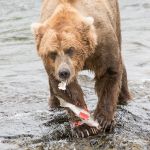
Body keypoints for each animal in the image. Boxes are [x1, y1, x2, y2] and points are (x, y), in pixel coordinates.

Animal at [31, 0, 131, 138]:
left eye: (70, 49)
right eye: (52, 53)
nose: (64, 72)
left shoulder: (102, 43)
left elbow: (108, 73)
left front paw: (103, 120)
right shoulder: (52, 67)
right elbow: (68, 91)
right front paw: (84, 128)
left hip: (116, 19)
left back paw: (124, 98)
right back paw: (54, 105)